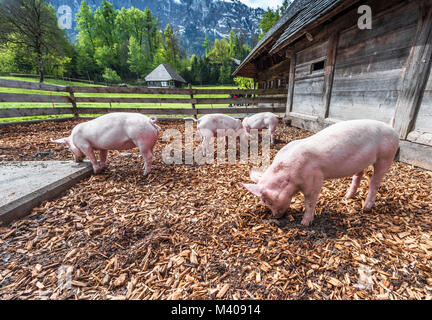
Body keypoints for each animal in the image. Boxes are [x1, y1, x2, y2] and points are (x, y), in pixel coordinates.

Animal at [241, 119, 400, 226]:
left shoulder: (315, 179)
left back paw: (365, 208)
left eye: (267, 200)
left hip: (386, 157)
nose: (275, 217)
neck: (289, 176)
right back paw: (347, 197)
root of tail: (391, 128)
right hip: (362, 162)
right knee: (358, 175)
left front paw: (304, 223)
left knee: (375, 181)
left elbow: (310, 202)